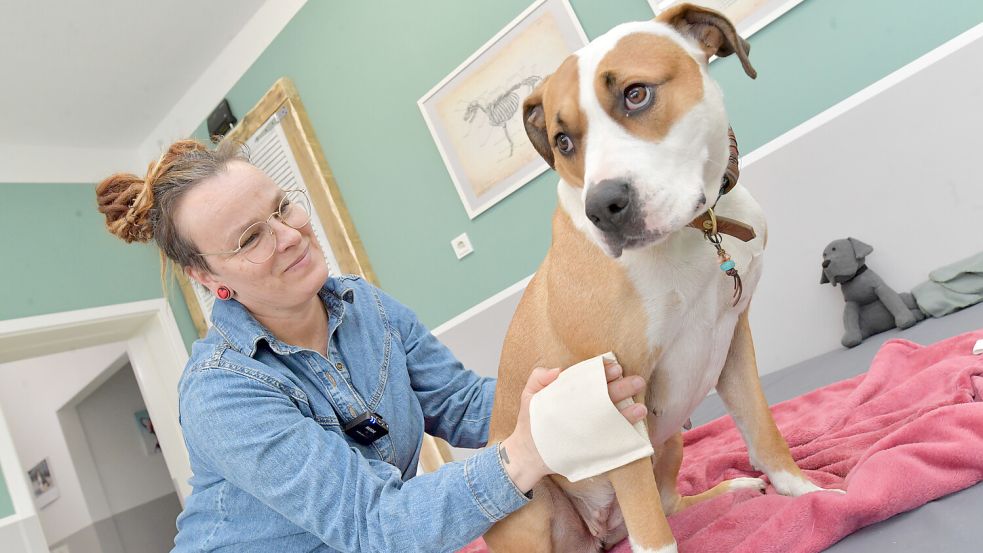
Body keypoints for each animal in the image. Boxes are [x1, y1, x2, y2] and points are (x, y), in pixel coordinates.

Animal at [488, 4, 840, 552]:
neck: (698, 231)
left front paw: (807, 494)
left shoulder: (733, 343)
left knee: (671, 502)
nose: (602, 207)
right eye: (564, 141)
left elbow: (763, 431)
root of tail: (602, 534)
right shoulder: (613, 400)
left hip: (672, 435)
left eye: (637, 94)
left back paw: (730, 490)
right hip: (530, 496)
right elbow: (654, 534)